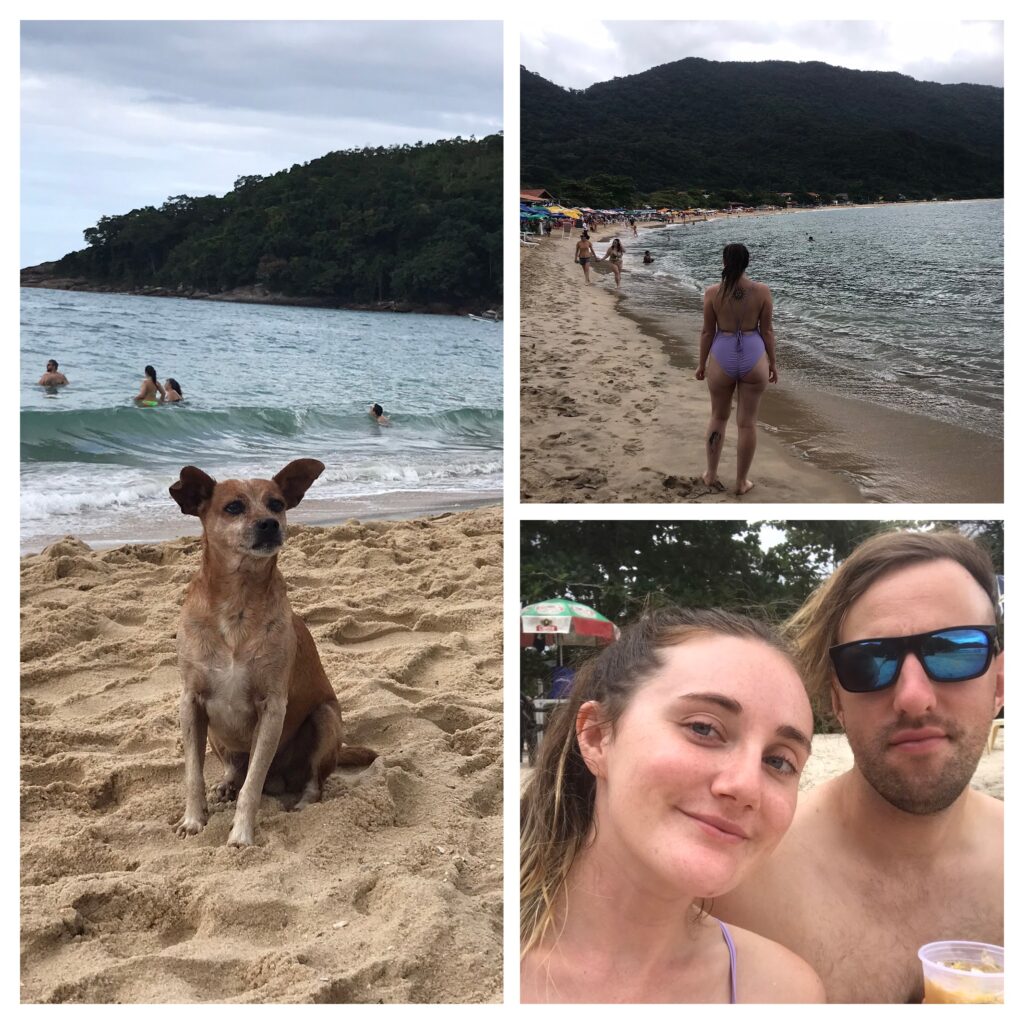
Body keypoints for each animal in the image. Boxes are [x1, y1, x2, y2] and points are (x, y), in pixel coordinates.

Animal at [169, 460, 378, 843]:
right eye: (233, 507)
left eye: (277, 504)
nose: (270, 523)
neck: (237, 603)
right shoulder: (190, 703)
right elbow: (194, 775)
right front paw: (193, 819)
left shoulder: (272, 708)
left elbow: (253, 785)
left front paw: (241, 835)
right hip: (218, 736)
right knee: (234, 770)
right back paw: (226, 784)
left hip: (326, 718)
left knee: (312, 780)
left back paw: (303, 800)